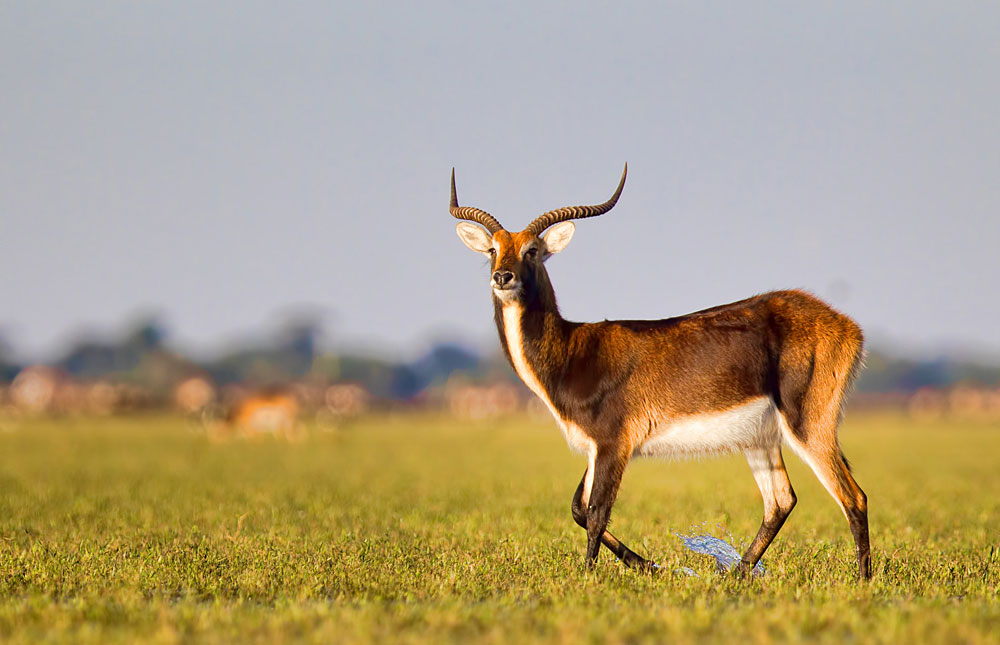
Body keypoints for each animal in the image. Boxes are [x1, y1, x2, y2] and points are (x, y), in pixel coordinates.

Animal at [450, 165, 872, 580]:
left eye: (532, 250)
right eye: (493, 249)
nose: (503, 277)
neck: (574, 350)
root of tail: (846, 324)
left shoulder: (613, 444)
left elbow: (595, 513)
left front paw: (587, 577)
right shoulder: (596, 449)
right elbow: (578, 509)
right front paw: (651, 566)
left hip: (807, 424)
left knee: (853, 496)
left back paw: (862, 580)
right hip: (761, 438)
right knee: (781, 501)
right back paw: (733, 576)